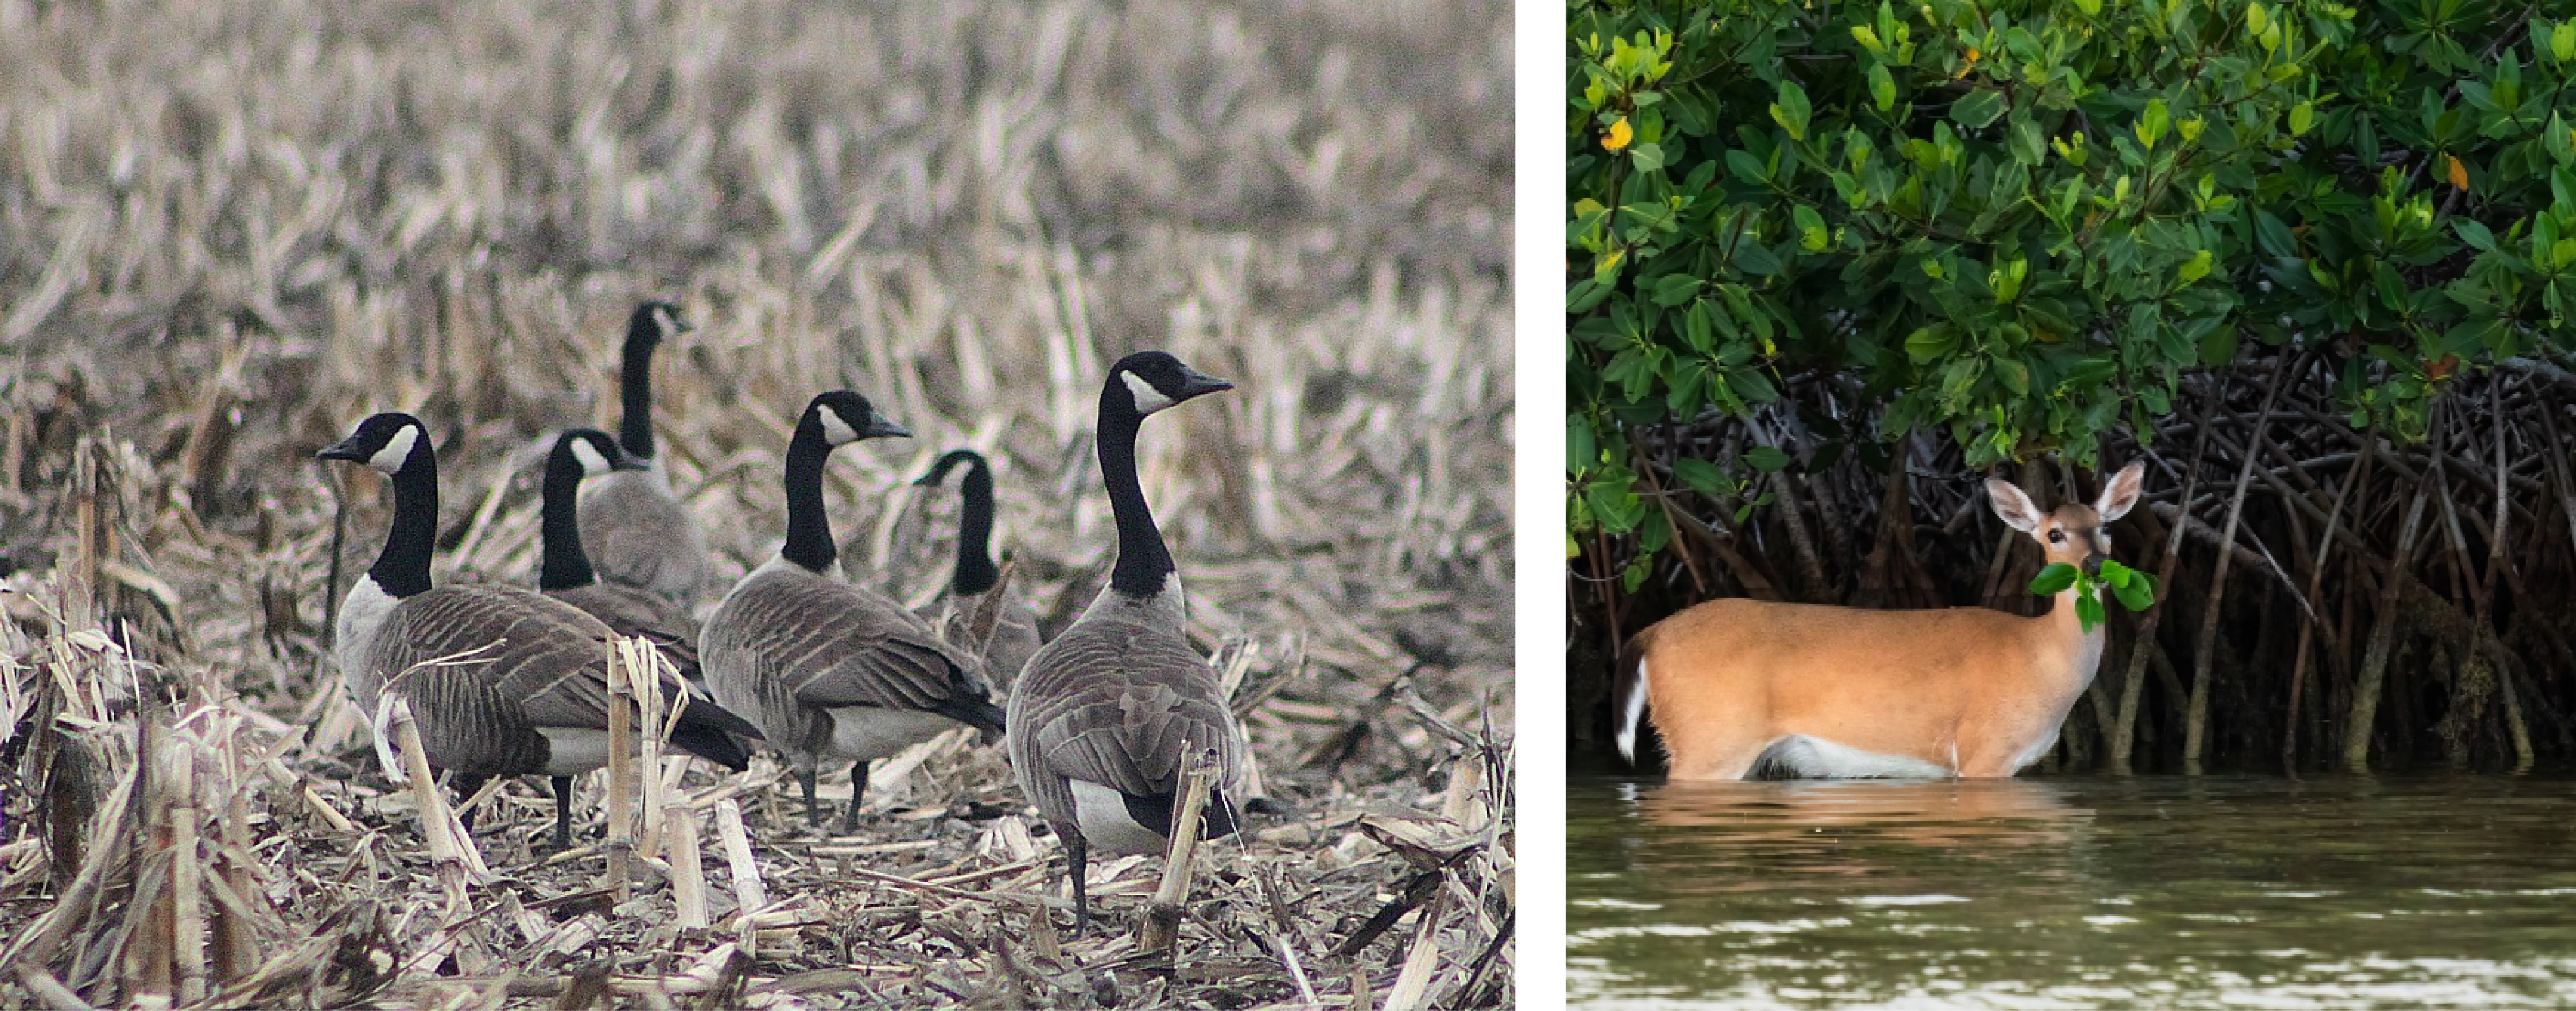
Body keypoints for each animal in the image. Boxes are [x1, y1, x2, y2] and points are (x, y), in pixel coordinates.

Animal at [1613, 461, 2145, 779]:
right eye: (2053, 533)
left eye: (2105, 526)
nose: (2095, 564)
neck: (2039, 658)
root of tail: (1650, 635)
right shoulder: (1984, 749)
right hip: (1709, 737)